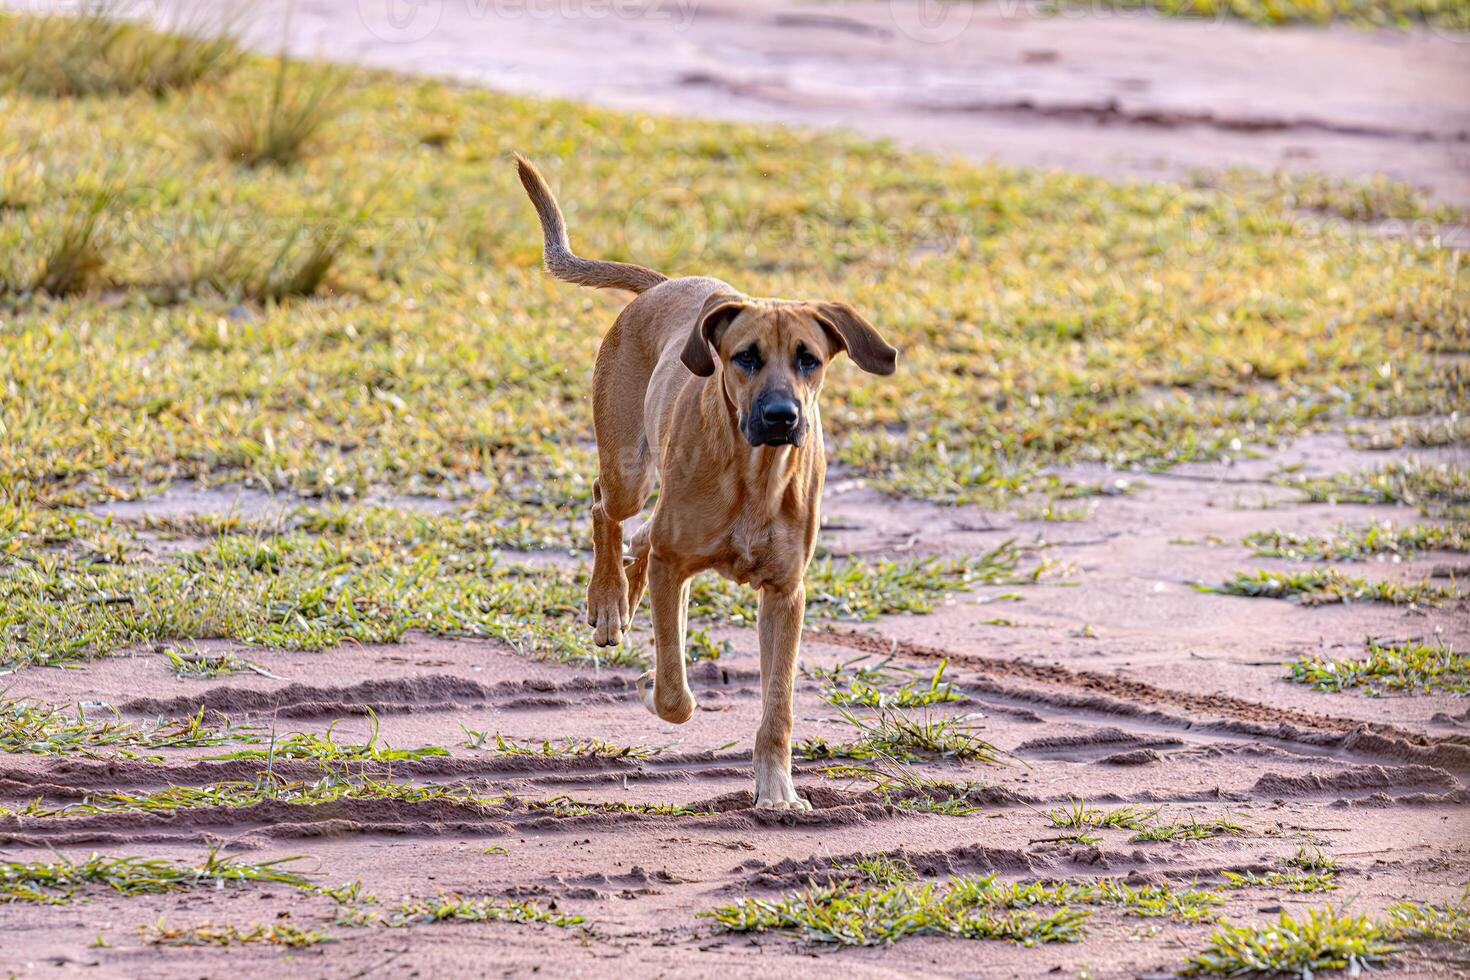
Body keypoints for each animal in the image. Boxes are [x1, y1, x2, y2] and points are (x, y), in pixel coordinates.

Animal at [517, 155, 893, 811]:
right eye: (744, 357)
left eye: (809, 358)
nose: (781, 417)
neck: (755, 476)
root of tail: (666, 284)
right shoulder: (675, 567)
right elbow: (673, 691)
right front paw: (653, 688)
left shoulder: (785, 593)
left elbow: (778, 709)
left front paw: (778, 792)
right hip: (630, 469)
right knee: (607, 509)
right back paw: (608, 600)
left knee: (638, 536)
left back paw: (623, 593)